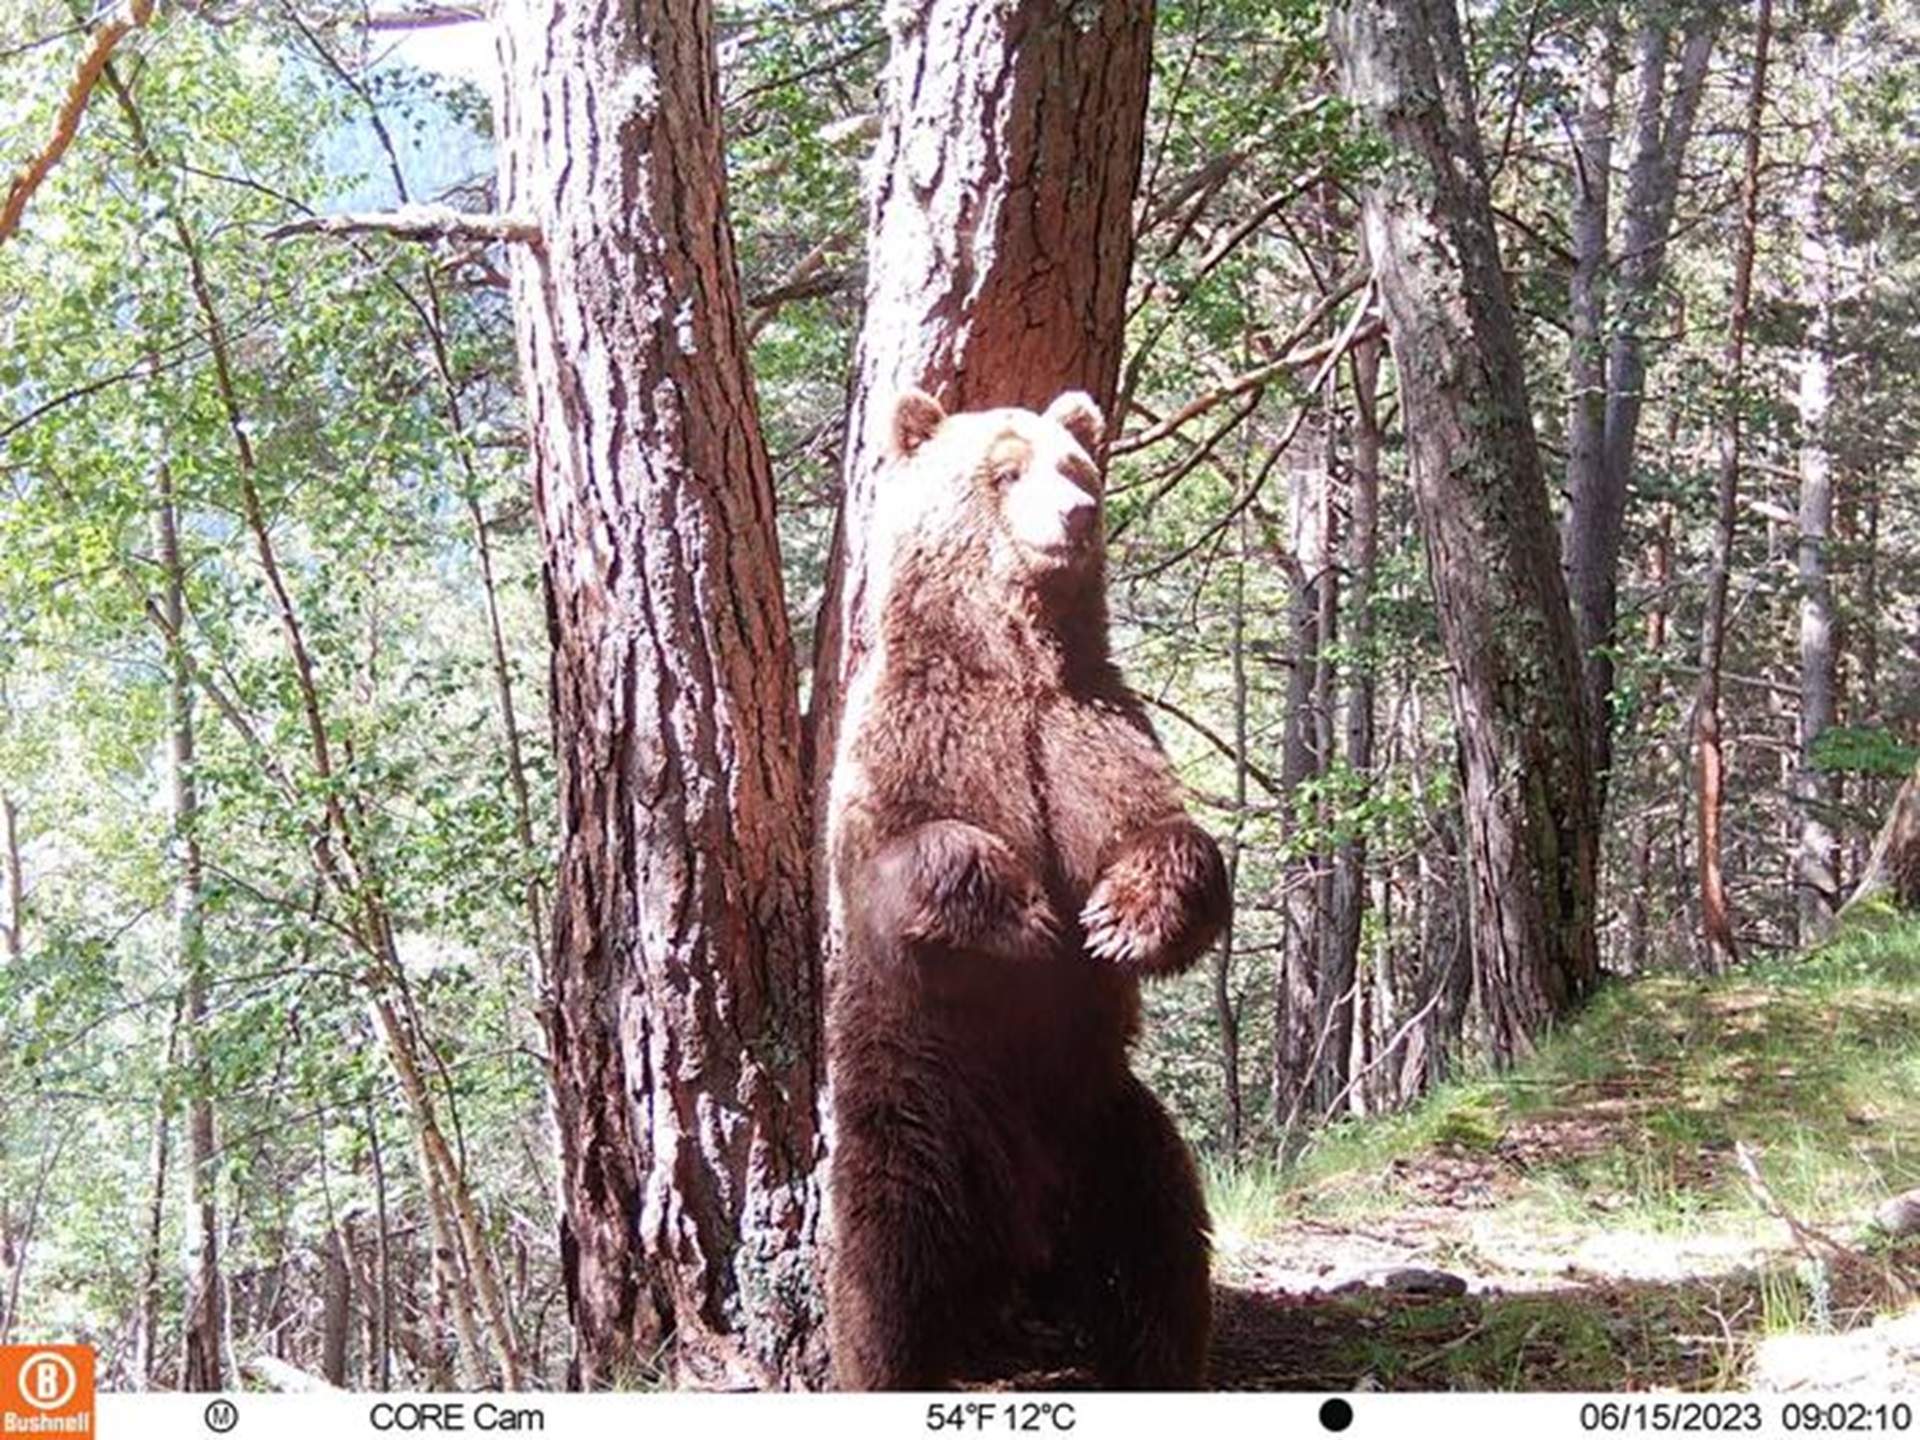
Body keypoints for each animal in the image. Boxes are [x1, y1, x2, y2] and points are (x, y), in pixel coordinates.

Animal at [825, 389, 1228, 1390]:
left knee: (1160, 1244)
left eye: (1076, 467)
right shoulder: (923, 738)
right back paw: (894, 1362)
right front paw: (1026, 912)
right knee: (887, 1263)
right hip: (921, 1108)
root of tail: (1026, 1239)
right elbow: (906, 853)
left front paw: (1121, 920)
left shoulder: (1091, 731)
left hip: (1110, 1123)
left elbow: (1159, 831)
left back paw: (1157, 1358)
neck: (1015, 663)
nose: (1076, 515)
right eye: (1005, 470)